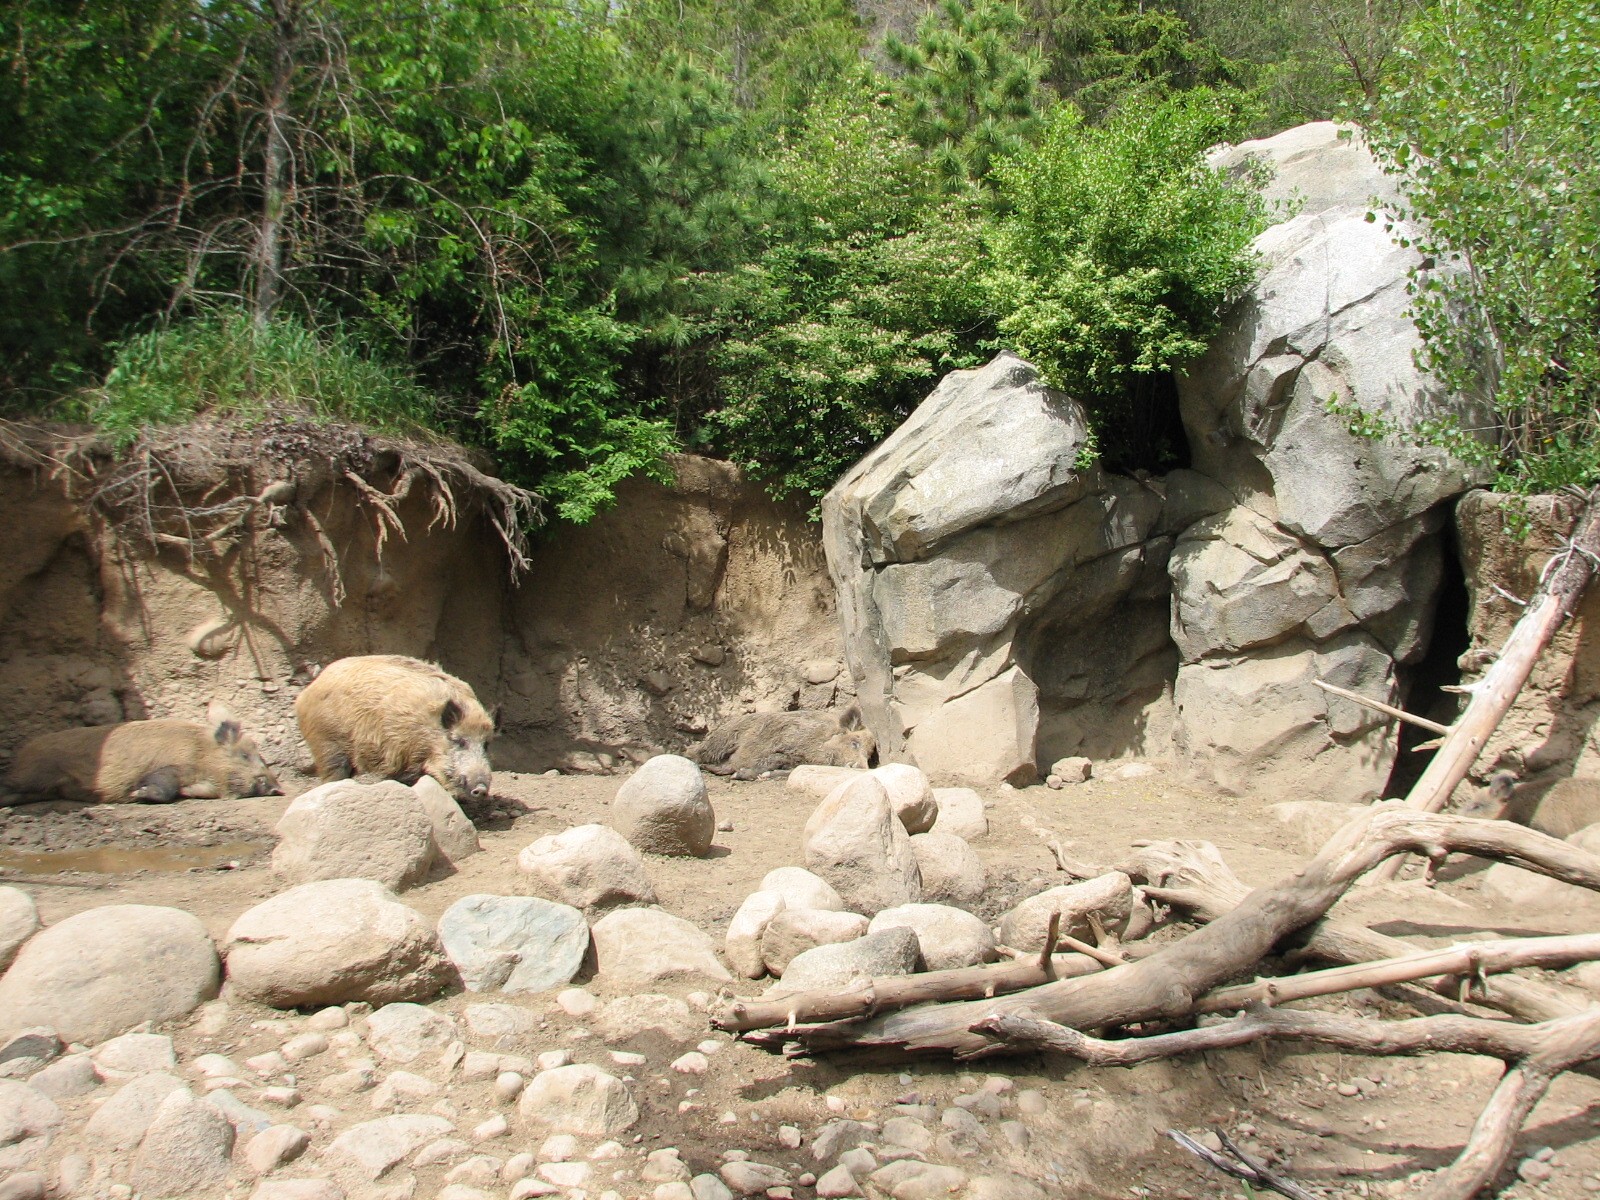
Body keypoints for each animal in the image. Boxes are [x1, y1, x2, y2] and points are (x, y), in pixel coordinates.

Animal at [2, 705, 280, 805]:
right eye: (245, 755)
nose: (276, 786)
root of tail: (23, 751)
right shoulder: (174, 764)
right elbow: (164, 782)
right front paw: (139, 794)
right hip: (34, 773)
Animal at [295, 654, 494, 799]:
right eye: (458, 740)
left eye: (486, 745)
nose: (481, 789)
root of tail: (306, 693)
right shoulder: (404, 753)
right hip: (327, 743)